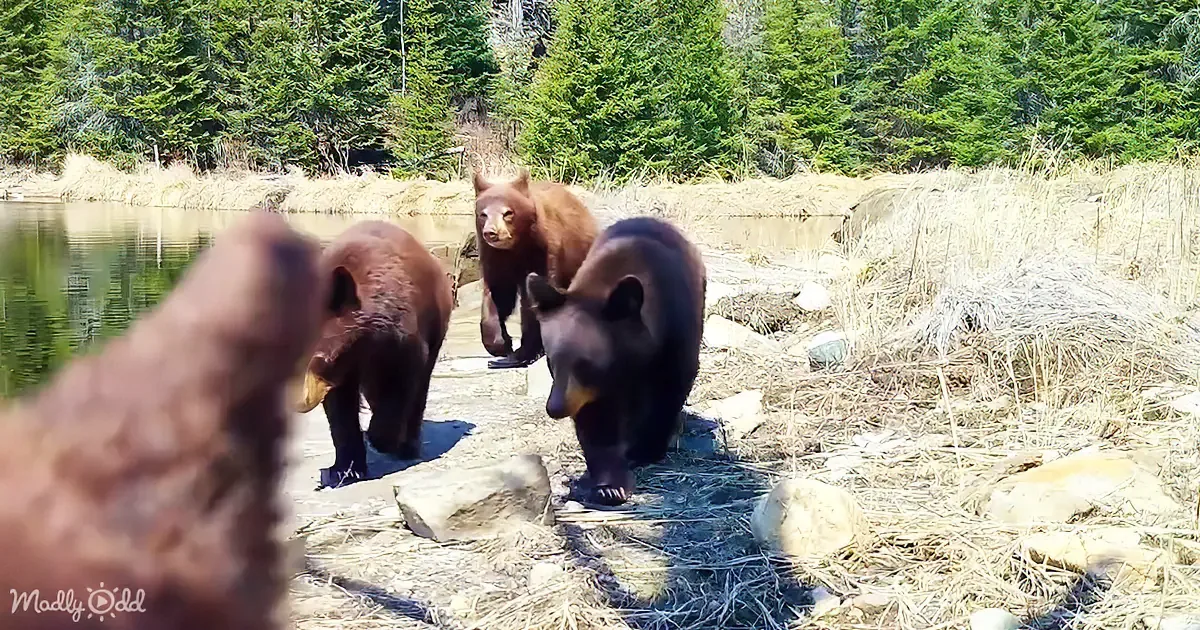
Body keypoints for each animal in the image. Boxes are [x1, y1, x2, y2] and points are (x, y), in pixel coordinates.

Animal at [296, 220, 454, 489]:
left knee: (419, 389)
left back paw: (407, 445)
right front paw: (344, 469)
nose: (299, 401)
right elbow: (340, 408)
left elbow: (400, 382)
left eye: (323, 357)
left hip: (436, 323)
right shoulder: (342, 370)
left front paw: (380, 438)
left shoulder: (401, 339)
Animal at [473, 169, 598, 369]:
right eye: (483, 214)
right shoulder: (495, 257)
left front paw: (523, 352)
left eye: (508, 212)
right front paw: (502, 345)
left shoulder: (545, 252)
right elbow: (498, 294)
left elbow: (538, 294)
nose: (491, 232)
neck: (517, 246)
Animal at [526, 216, 706, 506]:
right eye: (551, 362)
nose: (555, 408)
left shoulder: (675, 335)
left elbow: (669, 390)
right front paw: (610, 485)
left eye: (585, 364)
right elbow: (596, 419)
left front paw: (645, 450)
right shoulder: (589, 390)